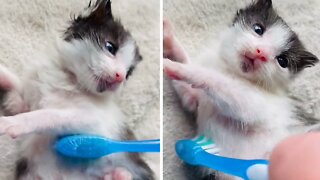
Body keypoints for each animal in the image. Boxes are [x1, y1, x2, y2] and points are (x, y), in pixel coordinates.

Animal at [0, 0, 154, 179]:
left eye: (128, 73)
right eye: (110, 47)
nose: (120, 76)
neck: (72, 80)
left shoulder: (93, 122)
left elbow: (48, 115)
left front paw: (11, 123)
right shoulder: (27, 100)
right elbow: (17, 92)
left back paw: (119, 174)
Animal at [164, 0, 318, 179]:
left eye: (282, 61)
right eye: (258, 29)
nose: (261, 53)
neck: (231, 70)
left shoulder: (256, 104)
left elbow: (217, 80)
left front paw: (178, 68)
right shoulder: (195, 99)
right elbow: (187, 91)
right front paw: (168, 41)